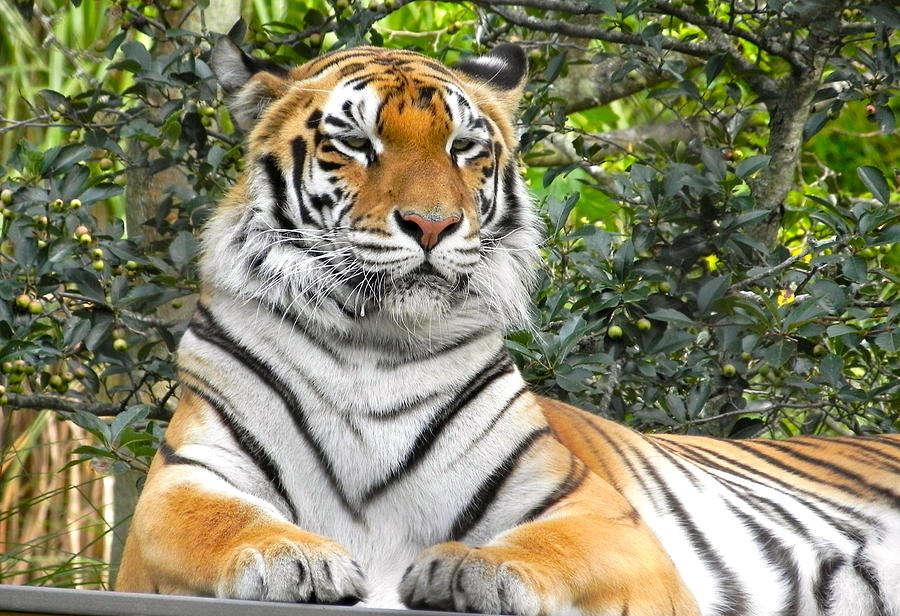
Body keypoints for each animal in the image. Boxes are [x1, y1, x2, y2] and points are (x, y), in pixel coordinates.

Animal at [114, 35, 900, 616]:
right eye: (357, 144)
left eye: (463, 148)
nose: (432, 224)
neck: (371, 343)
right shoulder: (176, 487)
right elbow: (217, 522)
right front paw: (292, 555)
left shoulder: (598, 514)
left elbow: (553, 547)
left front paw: (471, 571)